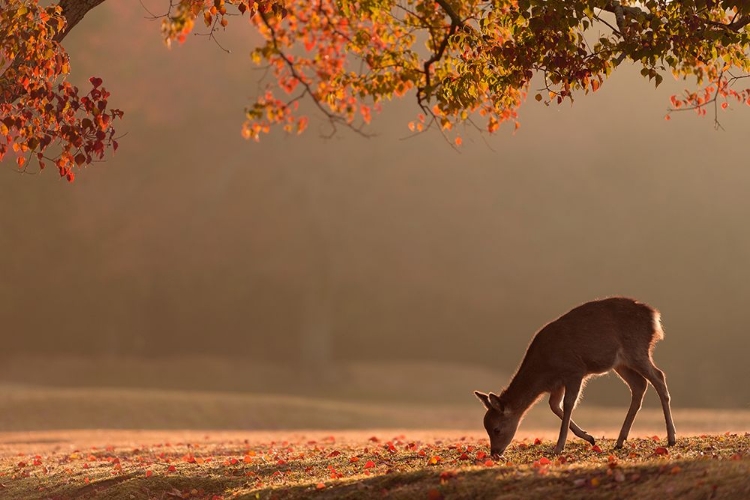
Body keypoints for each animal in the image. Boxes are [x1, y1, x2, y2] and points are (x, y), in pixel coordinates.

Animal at [476, 296, 680, 458]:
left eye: (496, 429)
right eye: (486, 427)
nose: (494, 453)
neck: (544, 369)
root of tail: (654, 316)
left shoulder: (574, 370)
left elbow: (568, 404)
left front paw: (559, 447)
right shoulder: (556, 384)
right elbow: (554, 406)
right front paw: (590, 438)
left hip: (637, 349)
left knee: (659, 377)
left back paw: (671, 438)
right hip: (621, 363)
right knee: (639, 385)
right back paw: (620, 441)